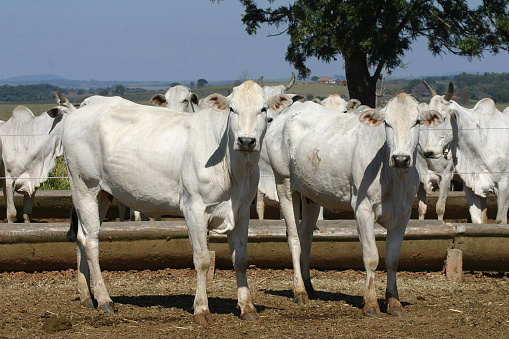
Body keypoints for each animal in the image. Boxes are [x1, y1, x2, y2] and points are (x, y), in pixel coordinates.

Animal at [53, 81, 292, 326]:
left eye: (263, 109)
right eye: (232, 109)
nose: (246, 141)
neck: (234, 169)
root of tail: (82, 109)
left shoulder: (242, 210)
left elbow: (241, 259)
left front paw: (247, 307)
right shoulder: (194, 208)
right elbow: (202, 259)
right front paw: (201, 309)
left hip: (101, 193)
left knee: (81, 237)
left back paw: (86, 296)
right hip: (84, 186)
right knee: (91, 241)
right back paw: (104, 300)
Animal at [266, 94, 440, 318]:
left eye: (417, 121)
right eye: (387, 123)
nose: (401, 158)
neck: (394, 179)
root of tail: (289, 111)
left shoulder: (403, 214)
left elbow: (393, 259)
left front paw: (394, 302)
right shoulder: (363, 209)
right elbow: (371, 257)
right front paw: (371, 304)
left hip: (310, 194)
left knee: (306, 237)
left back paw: (309, 286)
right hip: (284, 184)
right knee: (294, 238)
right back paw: (299, 291)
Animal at [420, 83, 508, 224]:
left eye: (443, 118)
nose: (429, 152)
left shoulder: (504, 186)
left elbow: (500, 221)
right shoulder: (470, 187)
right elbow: (477, 219)